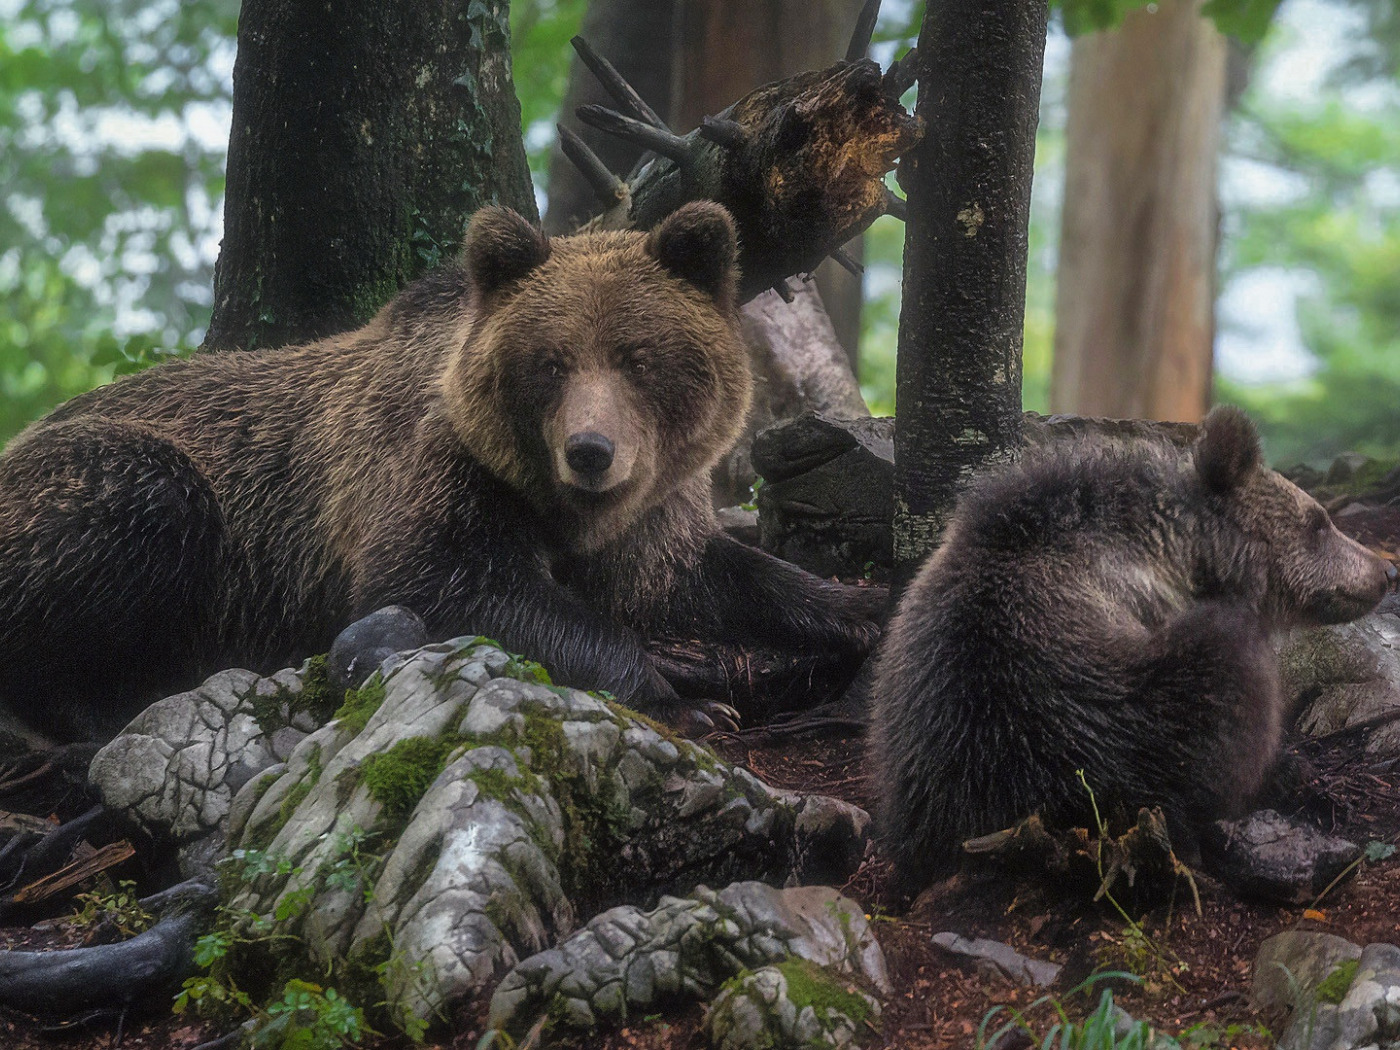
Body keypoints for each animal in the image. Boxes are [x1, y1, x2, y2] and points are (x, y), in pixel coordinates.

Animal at [0, 203, 884, 739]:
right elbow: (449, 583)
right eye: (551, 362)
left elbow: (707, 573)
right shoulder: (438, 476)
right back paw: (95, 707)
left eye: (638, 357)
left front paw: (858, 606)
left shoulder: (652, 509)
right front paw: (687, 702)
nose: (590, 450)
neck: (563, 509)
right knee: (146, 502)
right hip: (102, 476)